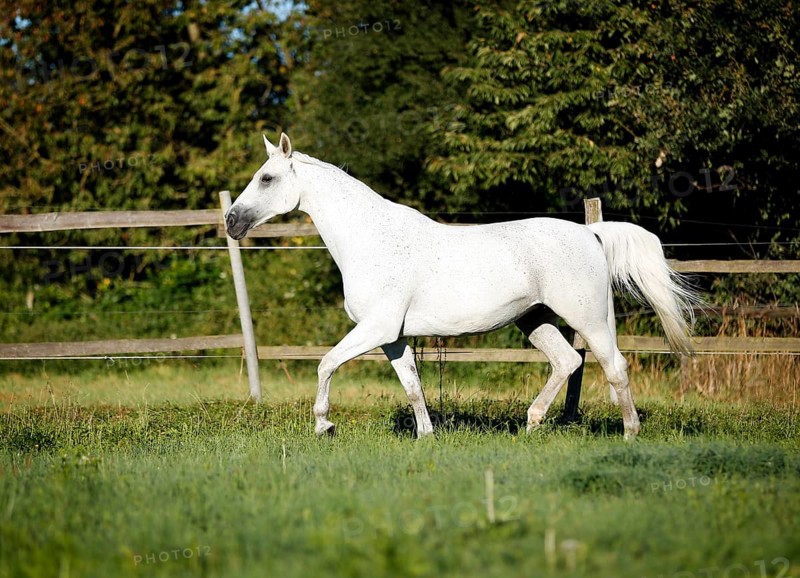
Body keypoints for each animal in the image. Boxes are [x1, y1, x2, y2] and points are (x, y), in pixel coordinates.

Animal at [225, 133, 699, 439]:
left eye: (266, 178)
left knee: (614, 366)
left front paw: (324, 424)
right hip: (535, 319)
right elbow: (413, 387)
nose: (231, 221)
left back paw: (630, 434)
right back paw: (531, 425)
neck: (372, 238)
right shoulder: (392, 337)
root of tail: (591, 234)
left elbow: (326, 364)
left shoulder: (375, 329)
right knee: (566, 361)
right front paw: (427, 437)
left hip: (590, 318)